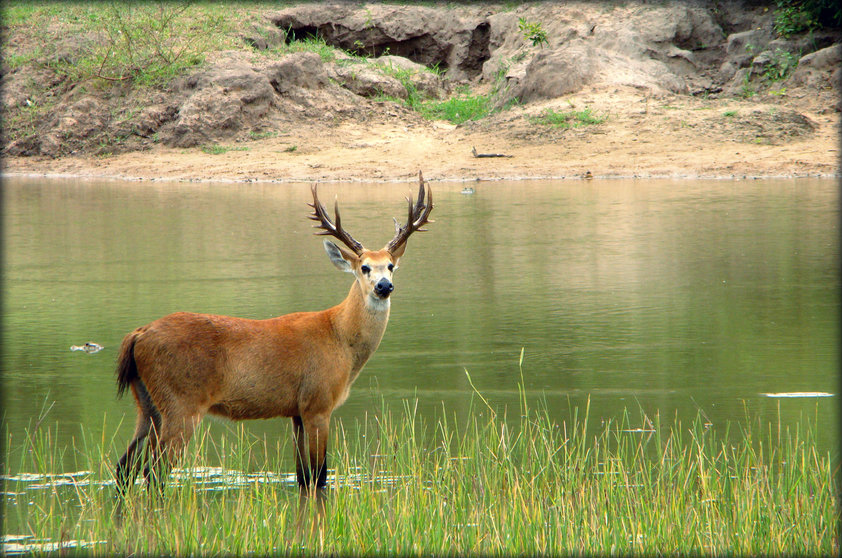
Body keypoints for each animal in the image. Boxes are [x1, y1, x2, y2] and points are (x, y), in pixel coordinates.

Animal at [112, 172, 434, 494]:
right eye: (365, 267)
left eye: (390, 266)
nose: (384, 286)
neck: (341, 339)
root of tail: (138, 335)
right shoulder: (318, 402)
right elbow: (320, 475)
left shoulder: (296, 411)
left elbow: (304, 478)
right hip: (181, 403)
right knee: (153, 473)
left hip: (147, 405)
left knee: (124, 468)